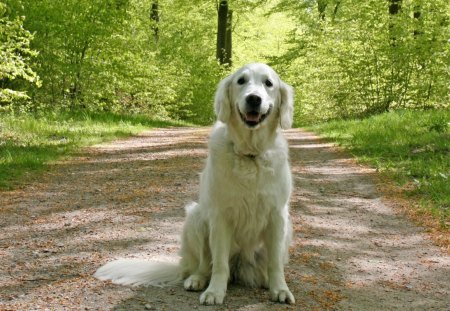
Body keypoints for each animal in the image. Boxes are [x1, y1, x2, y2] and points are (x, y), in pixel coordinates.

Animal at [95, 62, 296, 304]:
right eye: (241, 81)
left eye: (269, 83)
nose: (254, 99)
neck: (249, 154)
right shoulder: (220, 216)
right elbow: (219, 264)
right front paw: (215, 292)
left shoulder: (277, 215)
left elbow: (275, 263)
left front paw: (280, 289)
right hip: (196, 217)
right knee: (203, 265)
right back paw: (197, 280)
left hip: (286, 229)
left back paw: (265, 280)